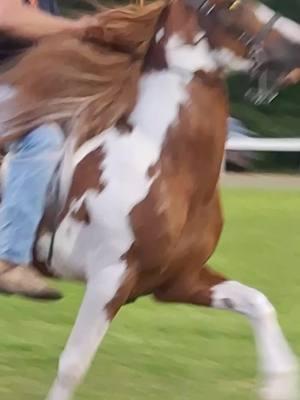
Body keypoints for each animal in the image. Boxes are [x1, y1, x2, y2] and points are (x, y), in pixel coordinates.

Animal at [0, 0, 300, 400]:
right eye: (234, 6)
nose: (296, 49)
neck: (165, 166)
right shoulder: (110, 279)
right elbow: (72, 367)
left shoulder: (179, 281)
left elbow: (259, 305)